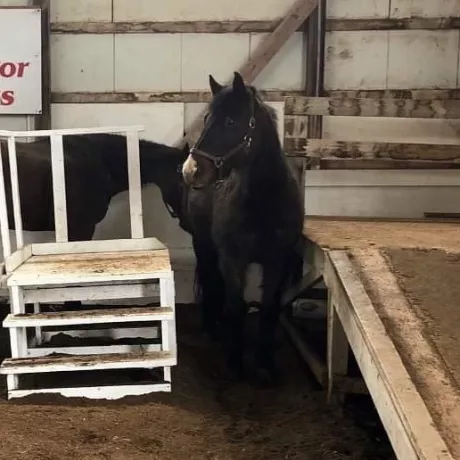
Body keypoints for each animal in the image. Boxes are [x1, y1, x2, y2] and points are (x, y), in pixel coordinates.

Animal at [181, 72, 304, 380]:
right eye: (206, 118)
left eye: (230, 122)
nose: (191, 170)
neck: (263, 204)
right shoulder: (233, 259)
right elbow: (236, 306)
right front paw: (235, 363)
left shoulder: (276, 260)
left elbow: (269, 307)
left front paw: (265, 363)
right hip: (204, 245)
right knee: (212, 281)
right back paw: (214, 329)